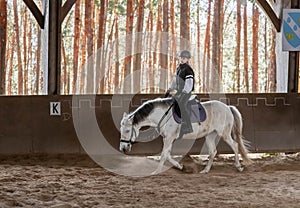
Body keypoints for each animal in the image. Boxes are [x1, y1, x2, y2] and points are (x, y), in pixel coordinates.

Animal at [119, 97, 251, 174]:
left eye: (127, 130)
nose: (123, 148)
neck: (162, 114)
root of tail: (227, 107)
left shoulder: (169, 138)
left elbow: (164, 155)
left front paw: (156, 171)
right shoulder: (168, 139)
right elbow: (167, 154)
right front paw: (181, 167)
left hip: (224, 133)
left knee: (235, 145)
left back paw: (238, 167)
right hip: (210, 135)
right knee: (213, 151)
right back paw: (205, 170)